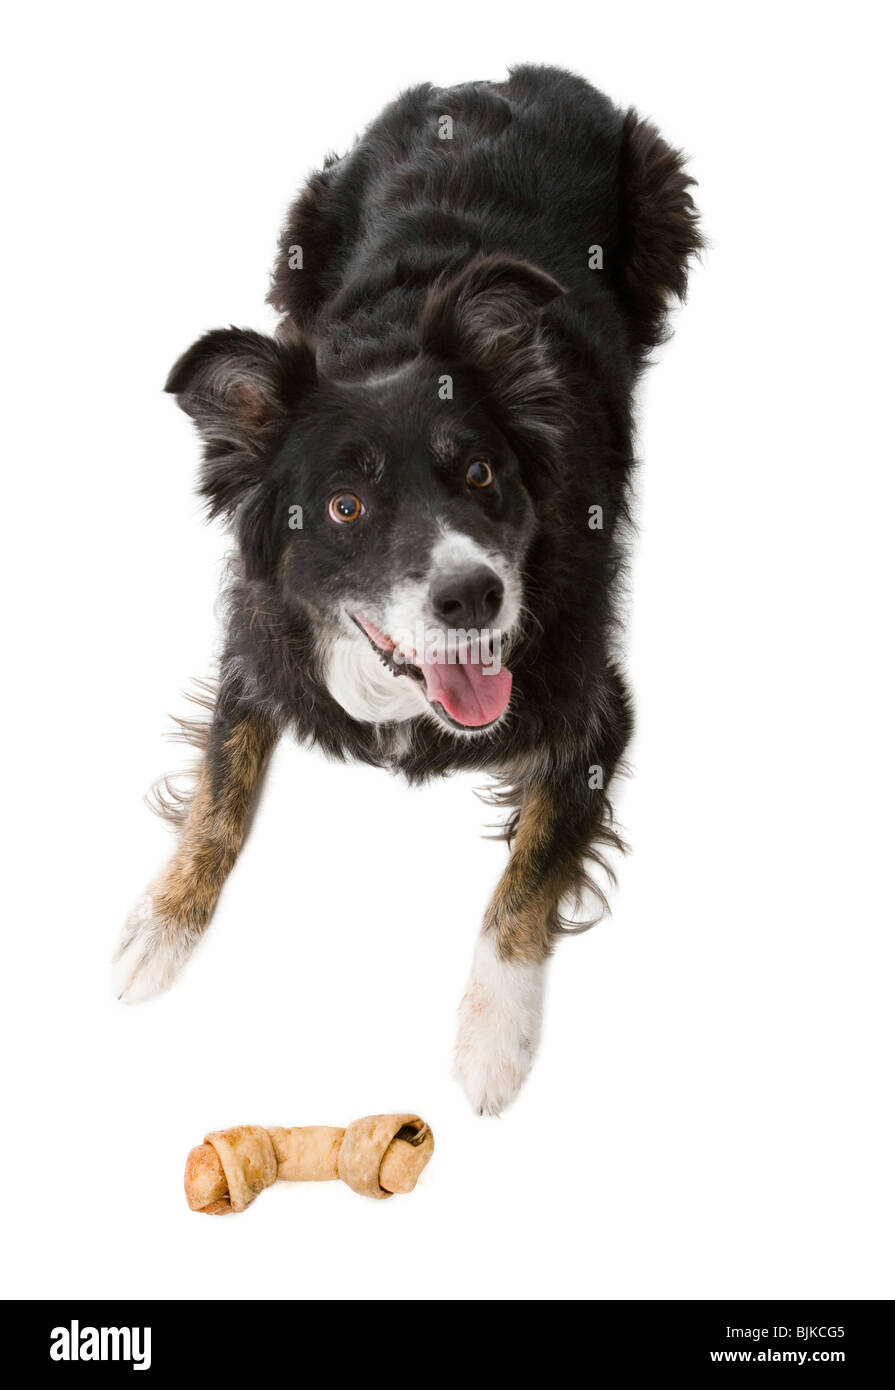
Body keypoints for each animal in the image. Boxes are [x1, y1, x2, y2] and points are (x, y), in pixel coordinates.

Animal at [113, 67, 700, 1117]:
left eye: (479, 474)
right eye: (344, 506)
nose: (473, 597)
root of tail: (499, 77)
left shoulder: (599, 709)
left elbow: (525, 876)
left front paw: (493, 1041)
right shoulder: (256, 646)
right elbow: (219, 789)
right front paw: (158, 926)